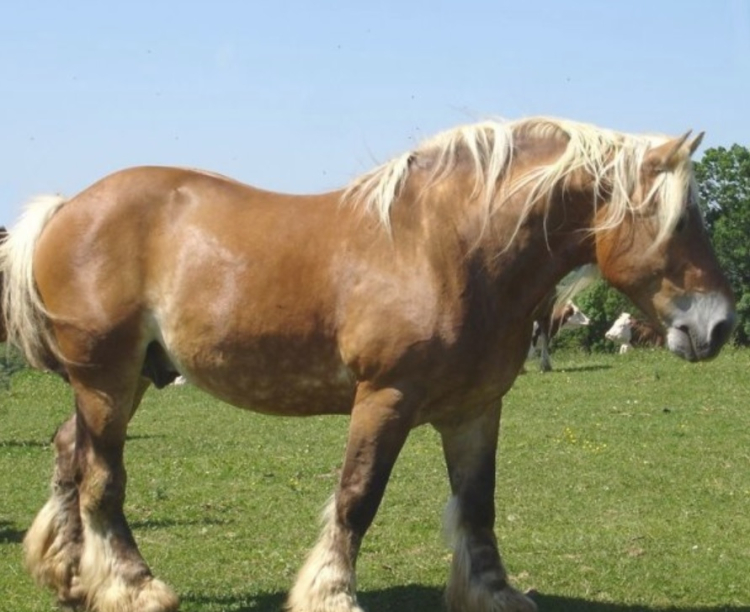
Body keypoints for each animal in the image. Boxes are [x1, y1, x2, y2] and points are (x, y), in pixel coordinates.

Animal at [0, 116, 735, 612]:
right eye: (675, 221)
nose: (719, 324)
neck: (450, 249)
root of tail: (67, 209)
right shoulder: (385, 398)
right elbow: (357, 497)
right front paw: (330, 593)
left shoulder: (474, 409)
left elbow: (478, 505)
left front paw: (493, 592)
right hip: (107, 380)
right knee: (101, 480)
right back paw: (134, 586)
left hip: (120, 383)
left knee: (68, 455)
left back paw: (70, 577)